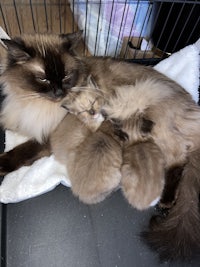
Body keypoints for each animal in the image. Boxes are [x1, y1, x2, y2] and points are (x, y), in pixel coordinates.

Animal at [0, 33, 199, 262]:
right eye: (43, 79)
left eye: (66, 76)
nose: (59, 92)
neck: (38, 105)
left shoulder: (48, 134)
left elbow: (22, 151)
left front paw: (2, 164)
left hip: (158, 127)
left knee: (179, 158)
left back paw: (165, 203)